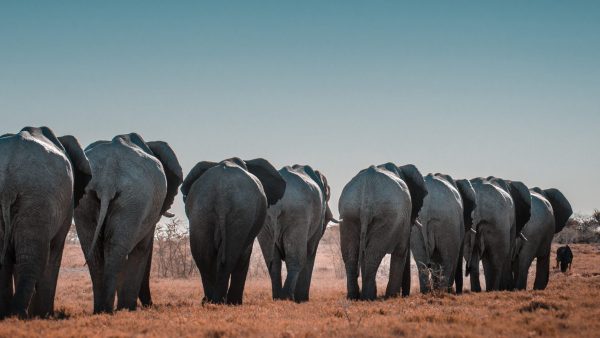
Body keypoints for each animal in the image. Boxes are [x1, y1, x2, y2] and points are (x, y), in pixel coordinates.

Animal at [0, 126, 91, 316]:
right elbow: (55, 251)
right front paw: (45, 315)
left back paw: (9, 314)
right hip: (39, 197)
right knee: (36, 257)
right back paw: (20, 314)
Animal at [73, 133, 180, 312]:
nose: (151, 305)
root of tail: (107, 179)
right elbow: (142, 248)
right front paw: (129, 308)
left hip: (86, 199)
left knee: (95, 250)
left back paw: (100, 310)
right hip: (135, 199)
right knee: (118, 249)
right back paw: (115, 309)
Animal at [180, 157, 286, 304]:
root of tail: (222, 196)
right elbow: (245, 253)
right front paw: (234, 303)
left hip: (201, 211)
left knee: (204, 257)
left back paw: (210, 301)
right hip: (241, 213)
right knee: (230, 257)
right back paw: (221, 301)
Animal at [255, 165, 336, 302]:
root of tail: (278, 203)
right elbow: (311, 251)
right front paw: (303, 299)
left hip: (265, 220)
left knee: (273, 261)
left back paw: (277, 297)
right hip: (298, 215)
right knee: (297, 258)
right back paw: (288, 297)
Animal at [338, 162, 426, 300]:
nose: (405, 295)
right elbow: (401, 251)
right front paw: (393, 296)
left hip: (348, 212)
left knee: (351, 254)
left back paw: (354, 296)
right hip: (387, 215)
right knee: (373, 253)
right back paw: (368, 297)